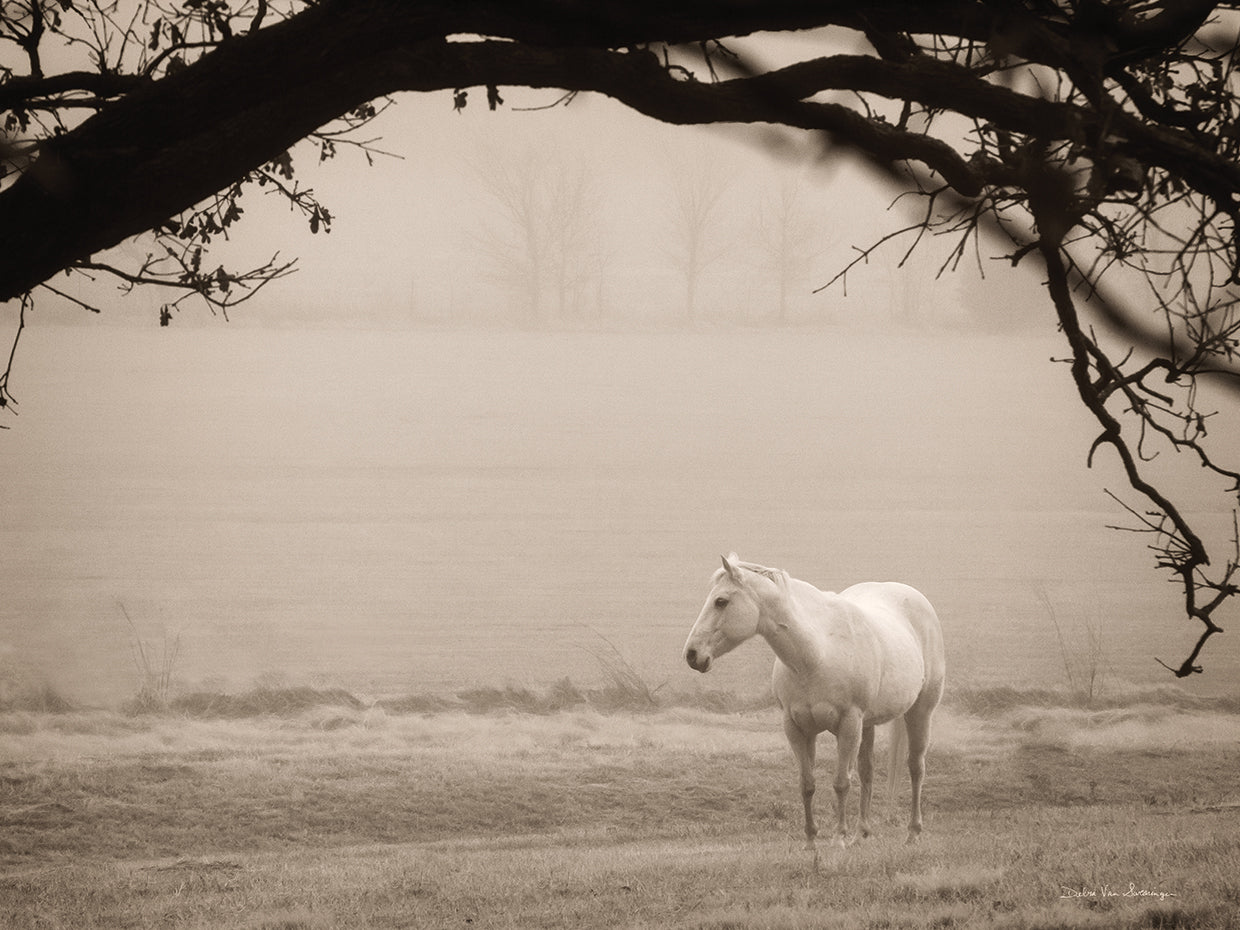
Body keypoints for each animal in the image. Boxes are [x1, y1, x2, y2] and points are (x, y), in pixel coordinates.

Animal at [683, 554, 945, 854]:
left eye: (721, 601)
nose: (692, 655)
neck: (817, 653)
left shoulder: (848, 724)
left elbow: (841, 782)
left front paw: (838, 837)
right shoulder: (797, 727)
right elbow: (807, 784)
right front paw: (810, 840)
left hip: (919, 712)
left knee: (916, 767)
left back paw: (912, 833)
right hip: (867, 725)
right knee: (867, 771)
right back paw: (861, 834)